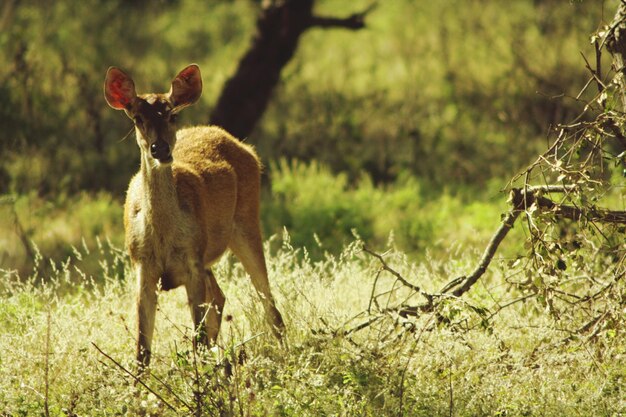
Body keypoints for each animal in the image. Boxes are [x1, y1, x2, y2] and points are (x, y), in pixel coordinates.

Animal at [104, 63, 286, 366]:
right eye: (137, 118)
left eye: (173, 114)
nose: (161, 148)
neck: (163, 239)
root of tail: (243, 145)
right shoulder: (142, 267)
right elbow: (142, 349)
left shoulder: (192, 262)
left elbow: (197, 339)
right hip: (209, 256)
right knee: (220, 297)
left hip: (246, 222)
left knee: (268, 303)